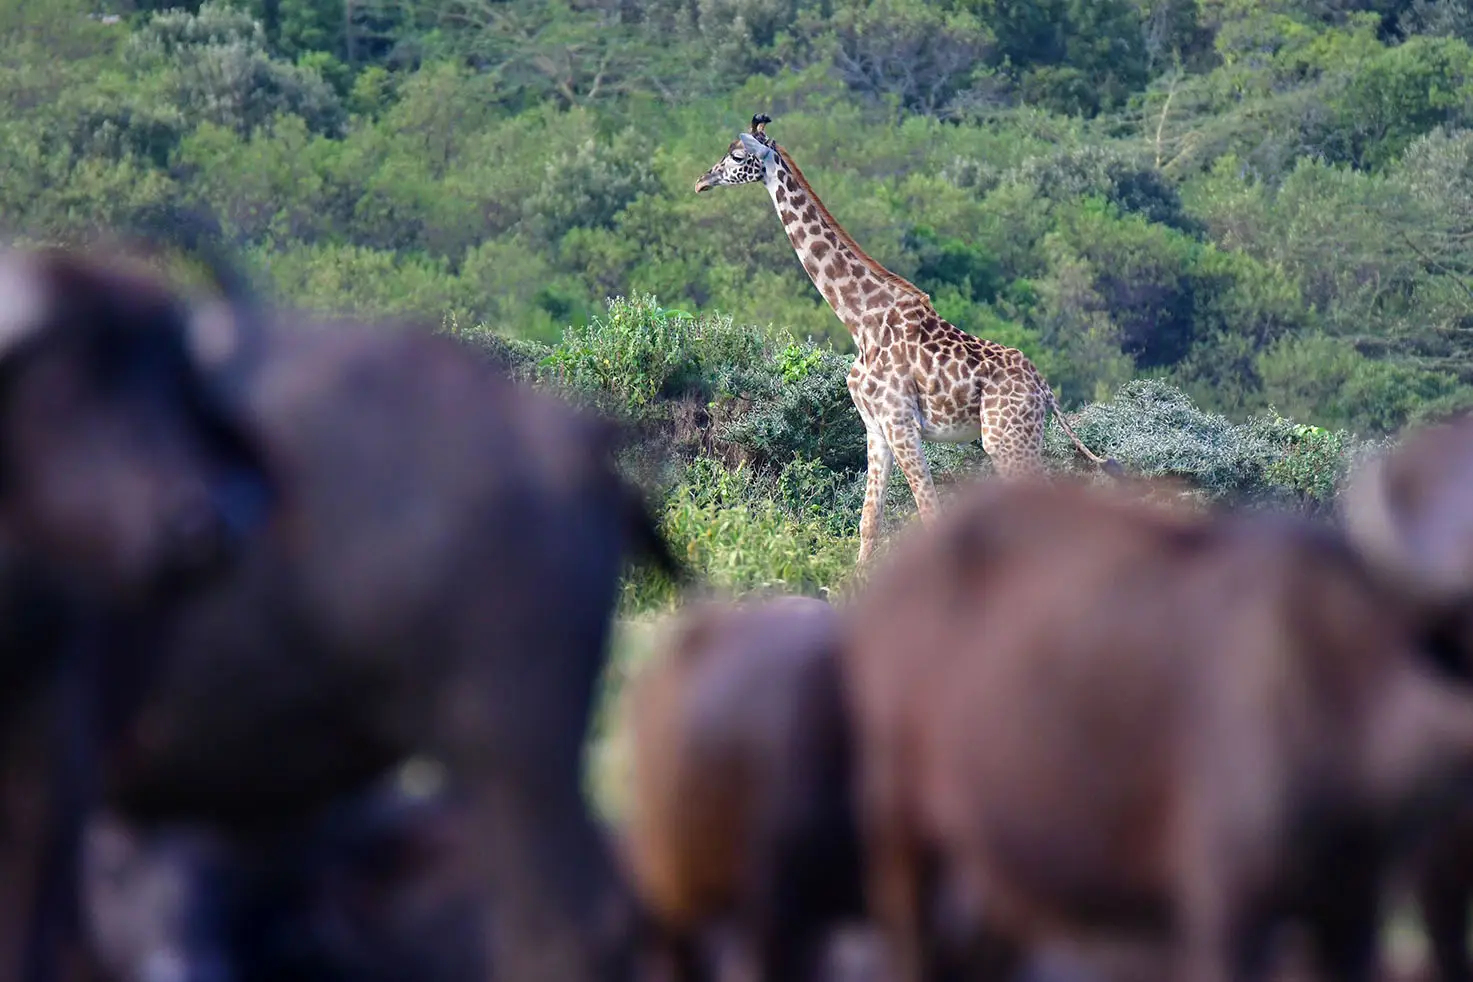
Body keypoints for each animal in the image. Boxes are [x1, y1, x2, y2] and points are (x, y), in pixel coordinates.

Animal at [689, 111, 1113, 565]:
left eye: (737, 155)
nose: (701, 181)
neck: (860, 320)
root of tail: (1043, 388)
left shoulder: (900, 423)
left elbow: (929, 514)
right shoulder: (875, 428)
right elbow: (868, 521)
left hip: (1007, 439)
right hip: (1019, 438)